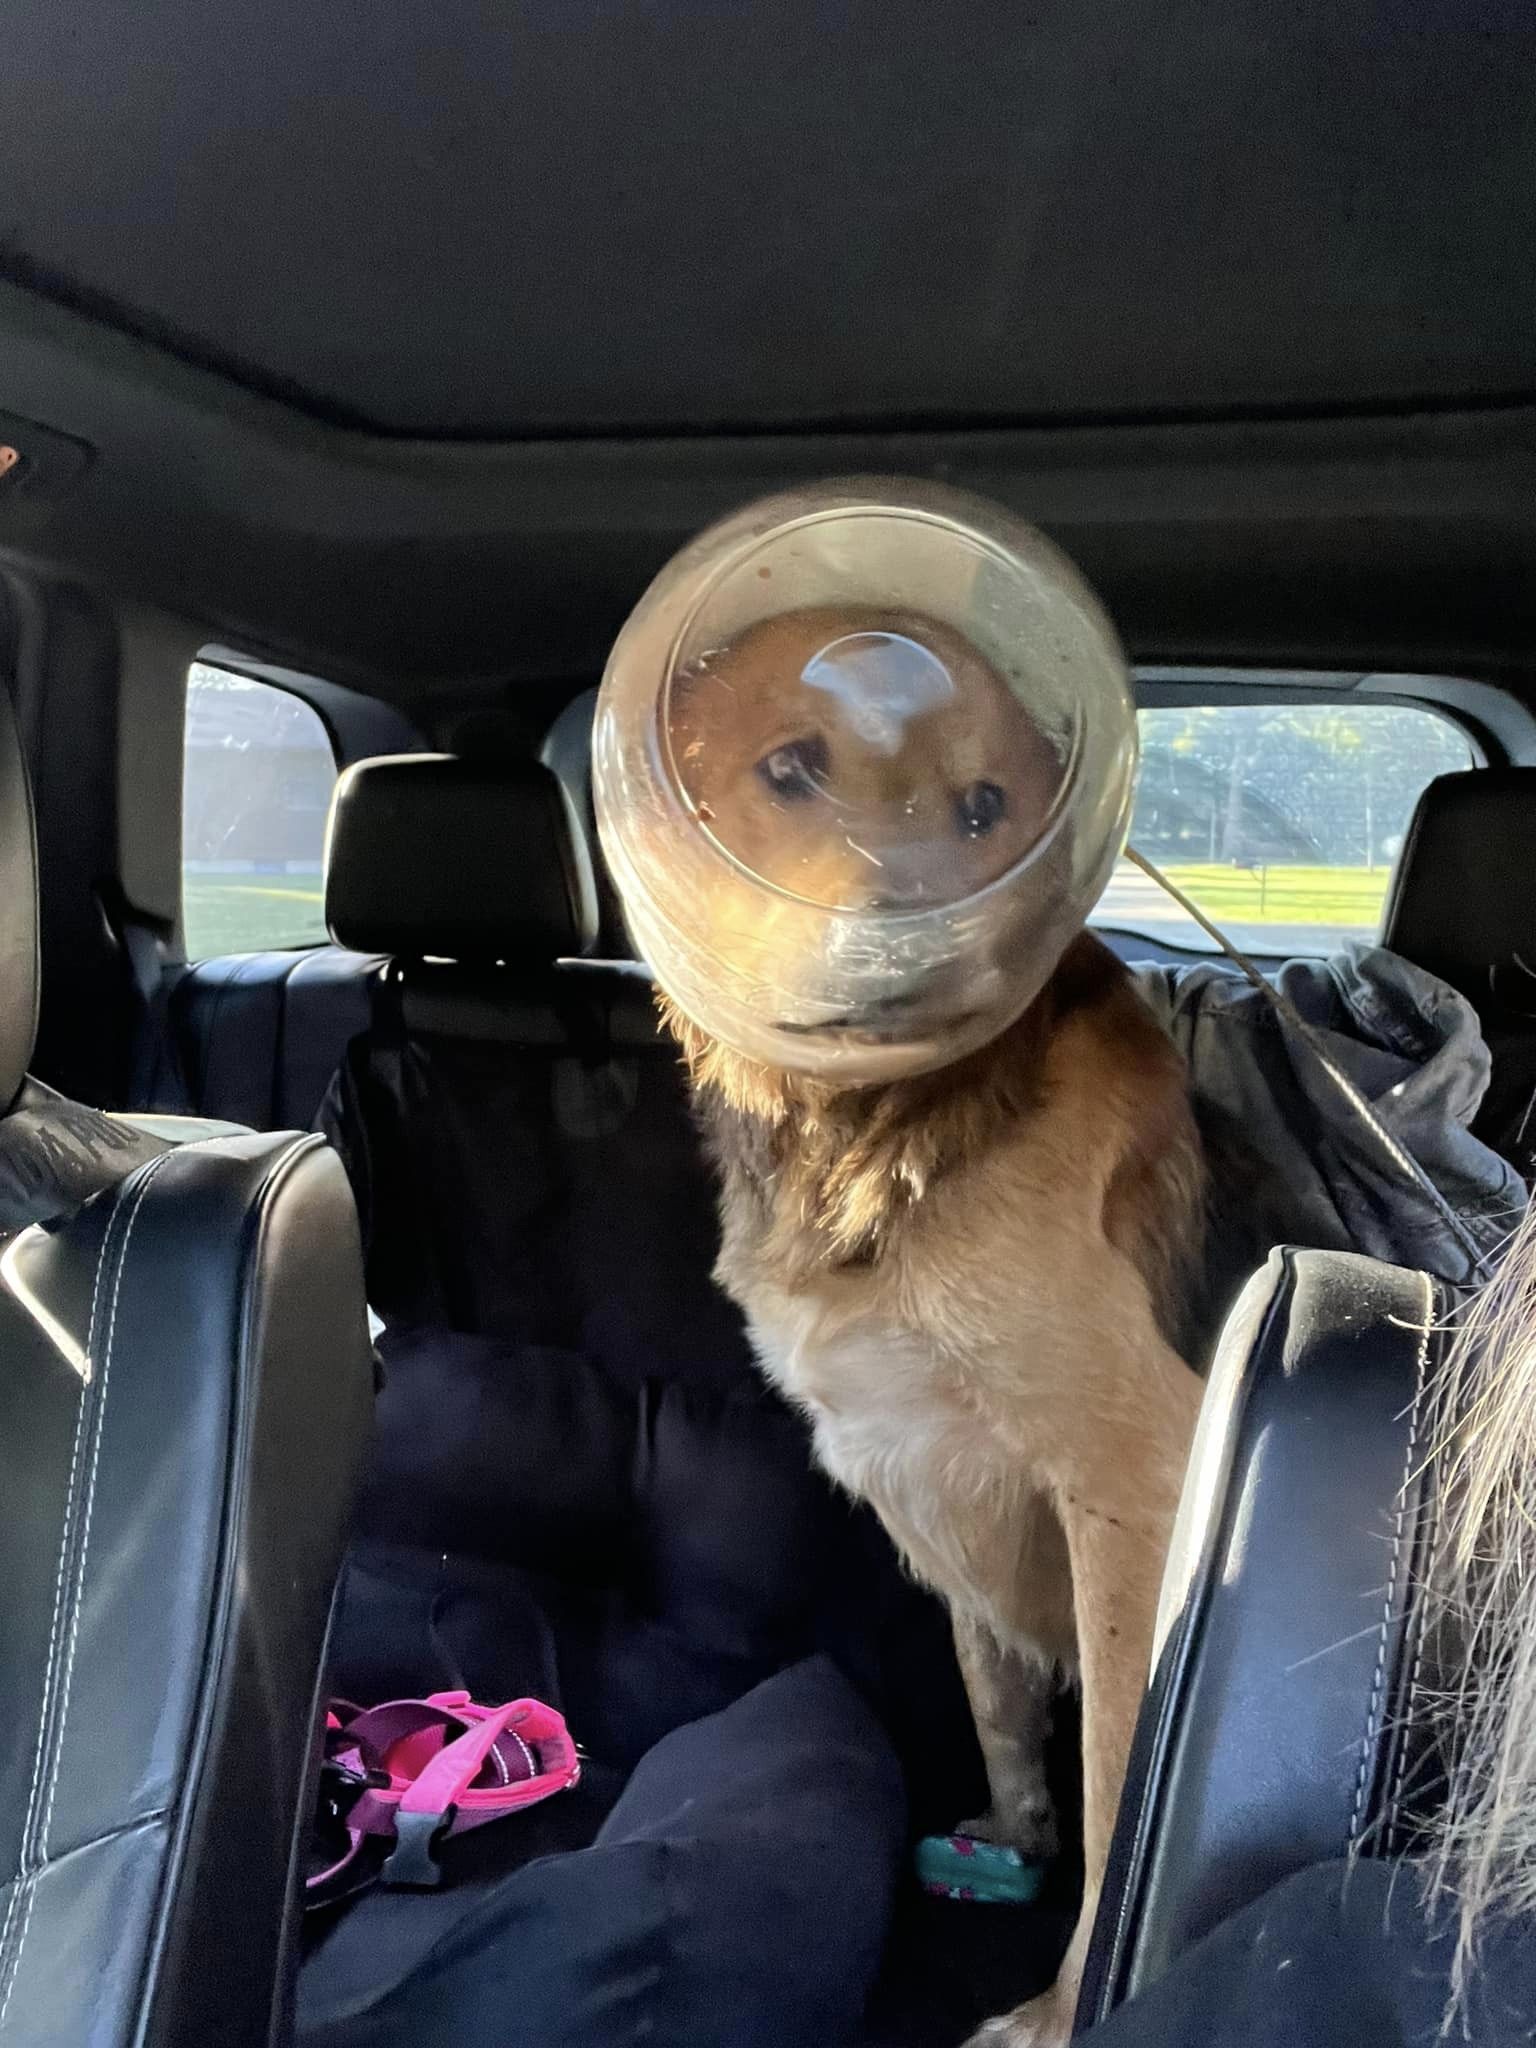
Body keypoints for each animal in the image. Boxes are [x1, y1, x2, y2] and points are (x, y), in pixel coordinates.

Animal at [643, 598, 1212, 2039]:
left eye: (986, 809)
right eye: (791, 768)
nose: (912, 971)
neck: (881, 1134)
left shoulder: (1133, 1491)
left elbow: (1121, 1777)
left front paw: (1069, 2008)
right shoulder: (934, 1478)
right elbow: (996, 1696)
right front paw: (1012, 1844)